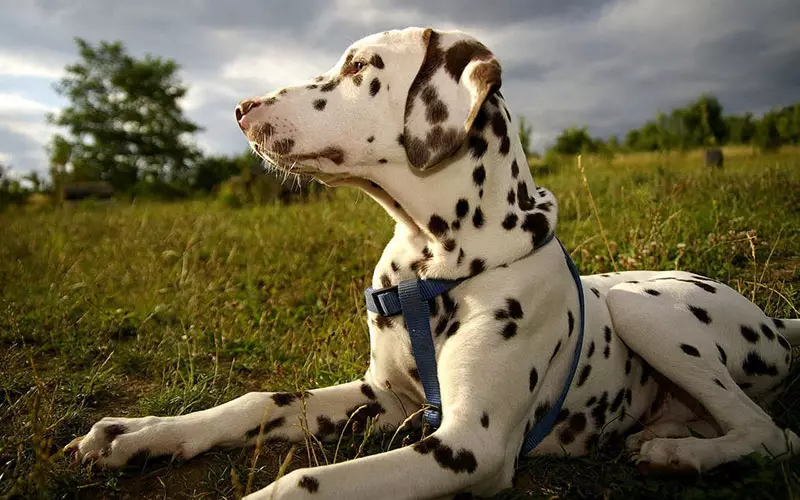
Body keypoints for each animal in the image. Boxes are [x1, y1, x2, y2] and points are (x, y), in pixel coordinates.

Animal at [69, 26, 800, 500]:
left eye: (360, 67)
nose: (243, 108)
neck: (433, 269)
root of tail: (779, 323)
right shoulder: (383, 398)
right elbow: (253, 402)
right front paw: (139, 434)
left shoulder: (466, 446)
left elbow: (301, 482)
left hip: (642, 310)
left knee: (772, 434)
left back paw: (681, 454)